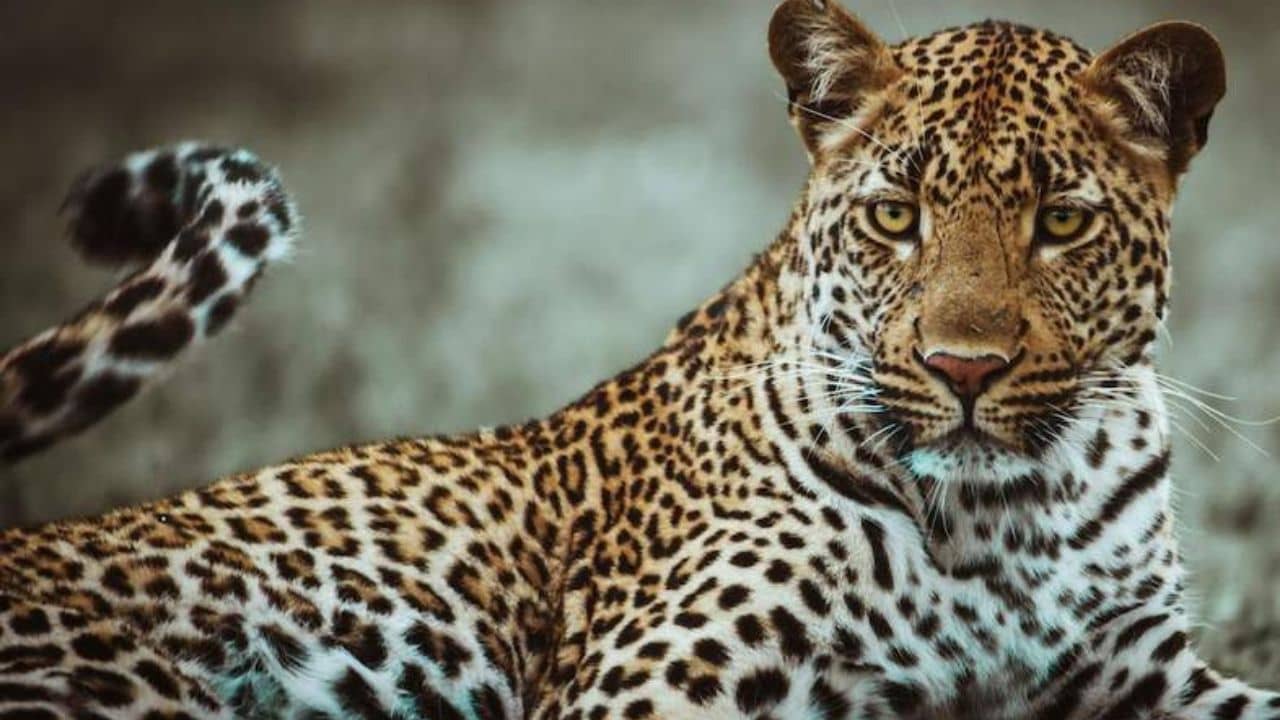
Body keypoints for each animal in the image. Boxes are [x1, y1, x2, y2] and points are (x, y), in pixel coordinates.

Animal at [0, 2, 1277, 718]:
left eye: (1059, 223)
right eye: (894, 215)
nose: (961, 369)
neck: (1010, 516)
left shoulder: (1134, 670)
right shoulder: (652, 684)